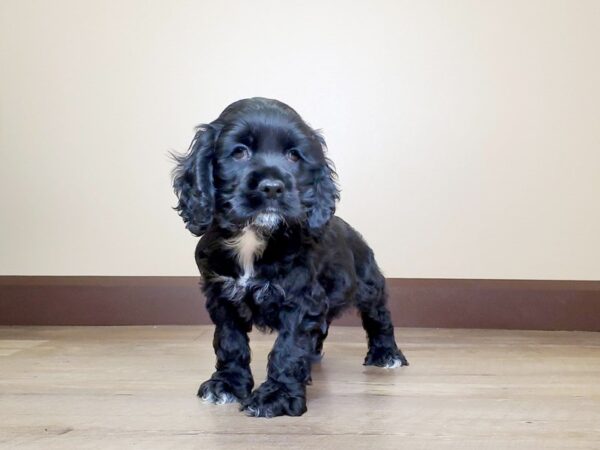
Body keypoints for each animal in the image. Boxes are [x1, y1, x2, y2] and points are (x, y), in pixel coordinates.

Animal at [171, 96, 410, 416]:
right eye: (239, 152)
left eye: (294, 156)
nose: (273, 187)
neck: (255, 237)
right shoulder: (221, 296)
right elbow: (230, 342)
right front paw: (228, 385)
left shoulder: (301, 299)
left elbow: (288, 348)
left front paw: (277, 396)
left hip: (369, 283)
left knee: (379, 316)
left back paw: (386, 354)